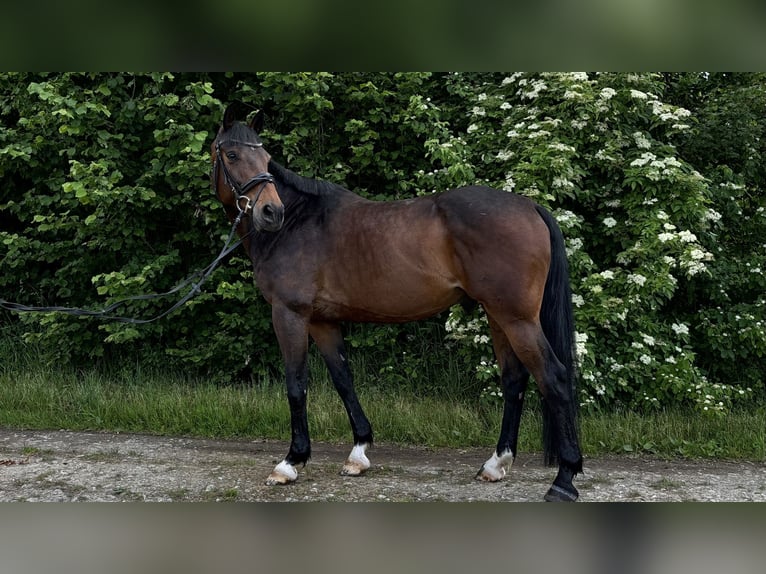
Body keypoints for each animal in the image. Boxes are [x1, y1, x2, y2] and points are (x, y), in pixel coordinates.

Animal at [210, 104, 583, 501]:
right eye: (232, 155)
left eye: (265, 158)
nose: (270, 212)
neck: (298, 222)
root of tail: (530, 206)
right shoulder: (322, 321)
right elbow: (343, 379)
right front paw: (358, 454)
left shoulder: (289, 314)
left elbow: (297, 385)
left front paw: (290, 462)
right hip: (499, 317)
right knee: (514, 380)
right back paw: (496, 465)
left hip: (518, 319)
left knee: (554, 378)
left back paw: (564, 480)